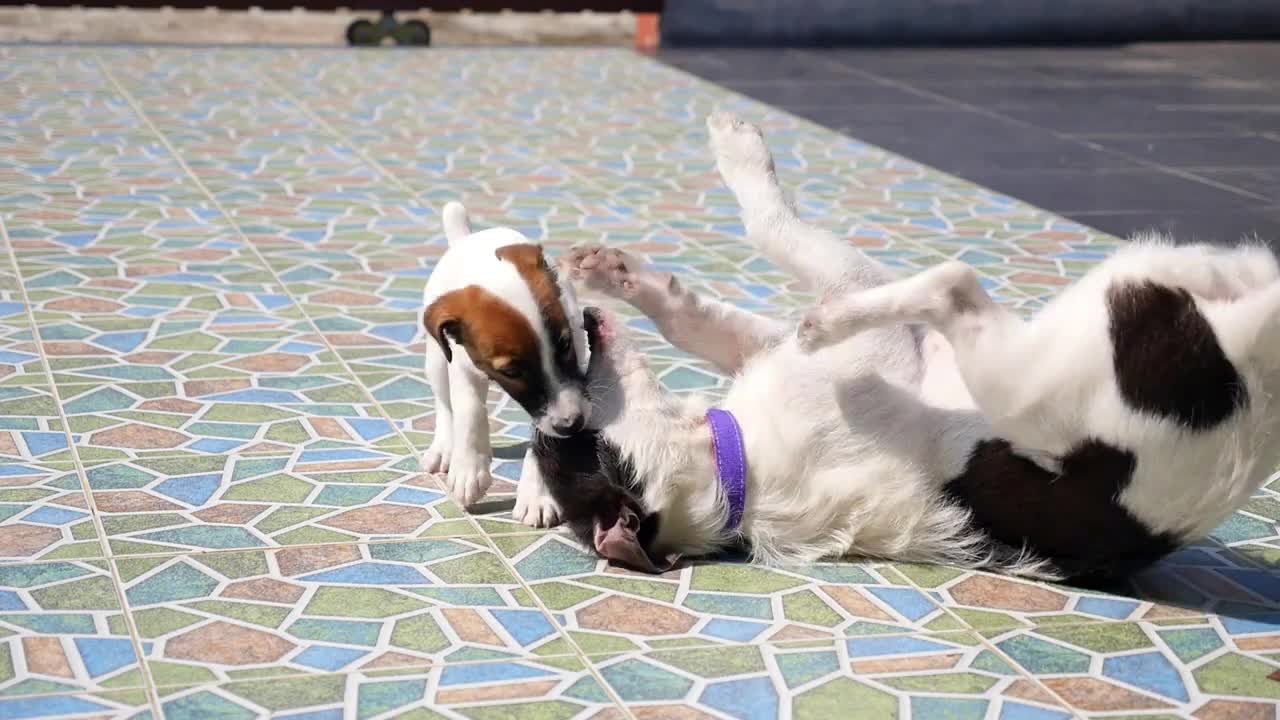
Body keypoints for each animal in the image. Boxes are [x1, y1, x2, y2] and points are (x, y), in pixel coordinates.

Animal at [427, 202, 591, 520]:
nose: (573, 425)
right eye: (512, 371)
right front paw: (468, 471)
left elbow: (544, 435)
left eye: (565, 345)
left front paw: (536, 494)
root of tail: (466, 236)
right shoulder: (462, 365)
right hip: (437, 360)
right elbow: (469, 412)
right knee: (444, 405)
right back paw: (444, 449)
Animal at [524, 113, 1274, 584]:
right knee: (951, 285)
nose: (583, 319)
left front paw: (613, 271)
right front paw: (743, 155)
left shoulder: (767, 348)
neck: (735, 474)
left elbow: (690, 315)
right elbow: (773, 226)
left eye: (567, 439)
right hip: (1023, 361)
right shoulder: (869, 340)